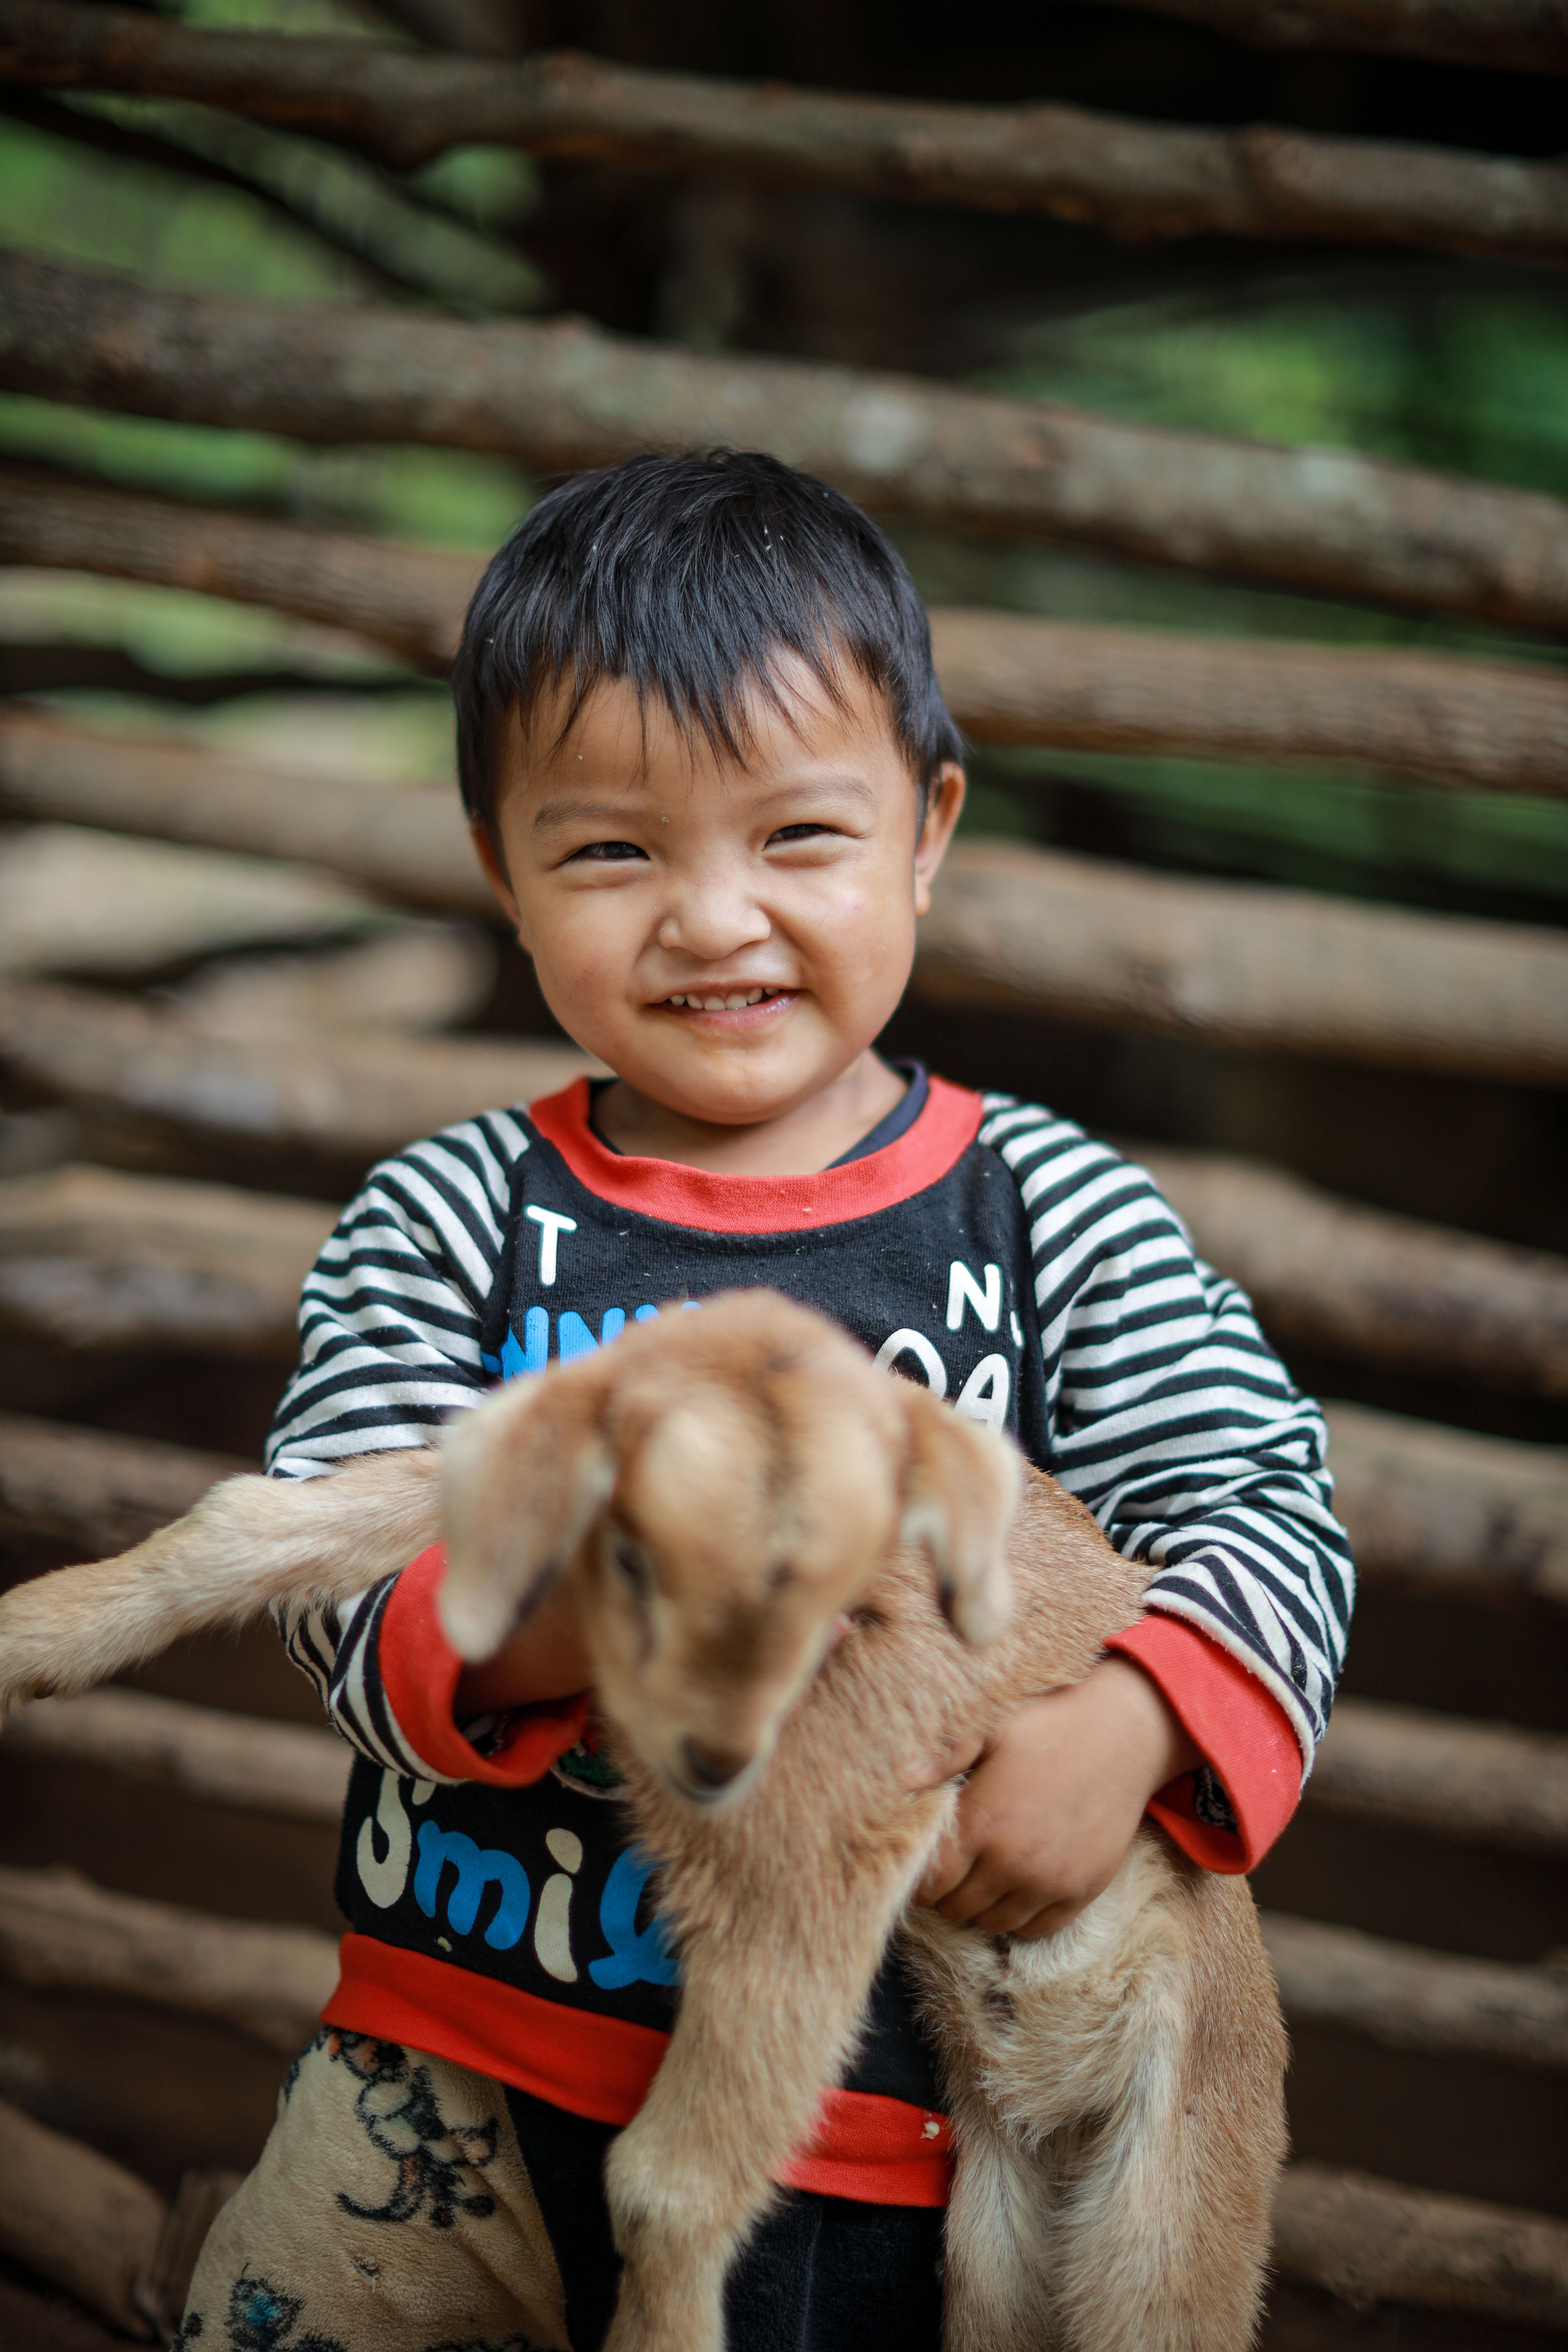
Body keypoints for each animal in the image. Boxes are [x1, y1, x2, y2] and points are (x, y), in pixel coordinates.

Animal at [0, 1298, 1288, 2343]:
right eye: (634, 1560)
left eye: (844, 1586)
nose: (714, 1764)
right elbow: (259, 1521)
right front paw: (33, 1639)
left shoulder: (825, 1852)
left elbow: (666, 2185)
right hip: (995, 2247)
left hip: (1168, 2210)